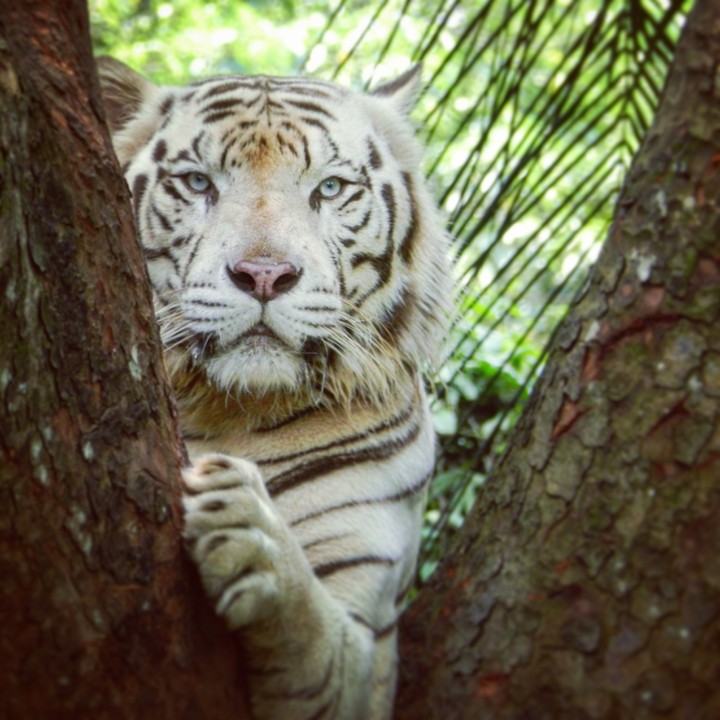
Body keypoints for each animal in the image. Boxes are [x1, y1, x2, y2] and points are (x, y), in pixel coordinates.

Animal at [97, 56, 452, 720]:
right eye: (198, 183)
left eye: (330, 189)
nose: (264, 275)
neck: (232, 410)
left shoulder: (370, 649)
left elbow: (317, 638)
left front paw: (248, 526)